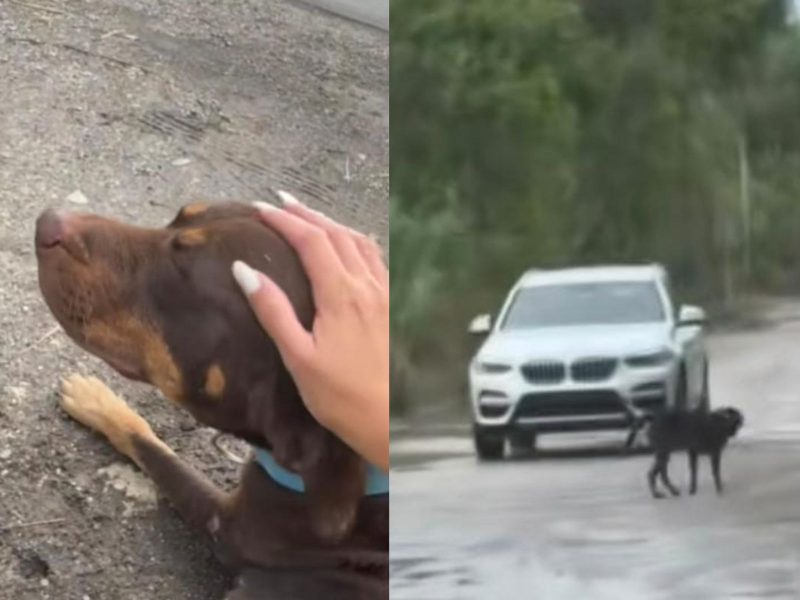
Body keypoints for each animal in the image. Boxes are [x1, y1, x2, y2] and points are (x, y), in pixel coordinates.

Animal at [35, 203, 390, 600]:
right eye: (179, 217)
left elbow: (156, 452)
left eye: (183, 273)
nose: (47, 222)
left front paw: (97, 403)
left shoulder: (223, 524)